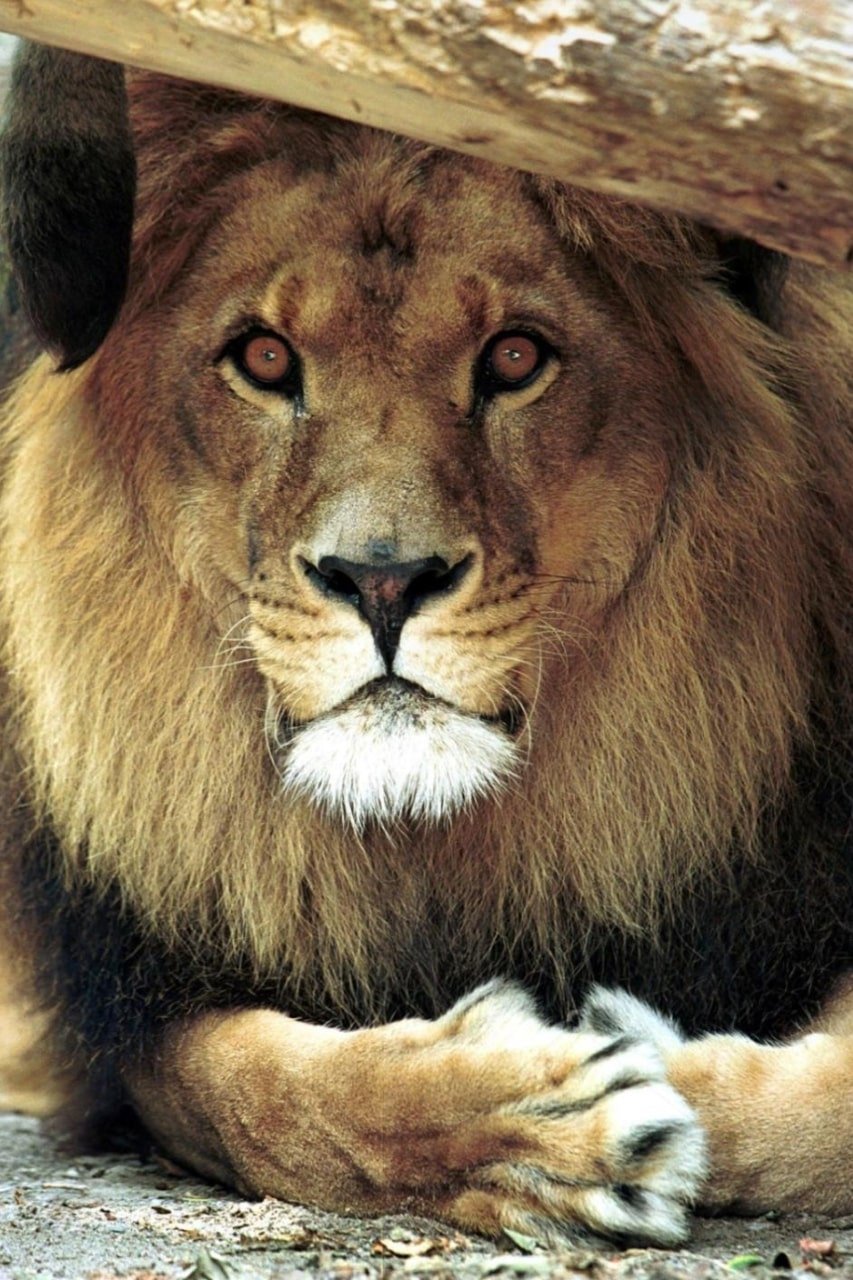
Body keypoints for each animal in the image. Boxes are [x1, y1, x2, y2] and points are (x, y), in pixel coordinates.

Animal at [0, 42, 851, 1248]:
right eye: (266, 357)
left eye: (516, 356)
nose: (383, 580)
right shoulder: (137, 989)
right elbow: (252, 1090)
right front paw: (543, 1119)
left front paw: (649, 1064)